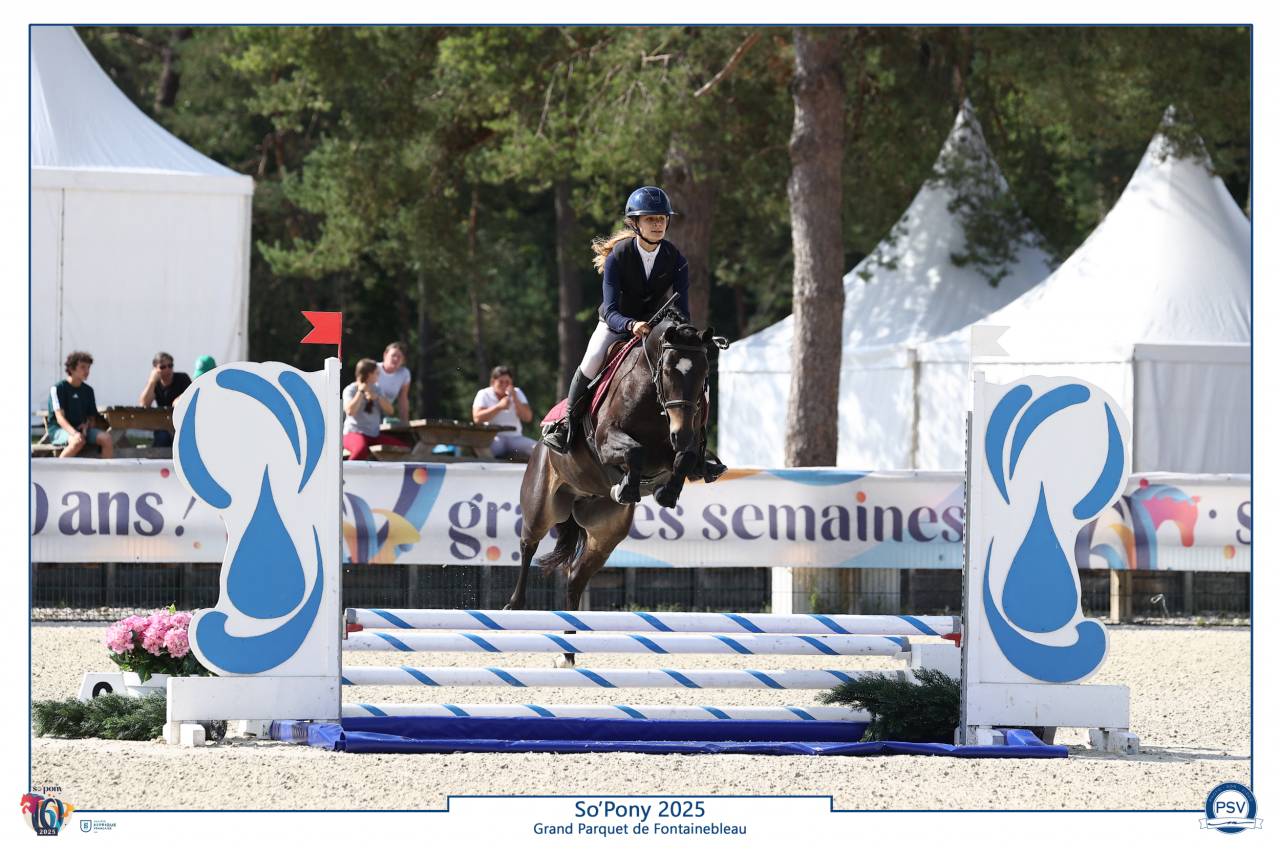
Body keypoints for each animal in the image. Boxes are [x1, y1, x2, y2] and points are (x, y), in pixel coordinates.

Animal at [505, 310, 721, 663]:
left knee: (575, 578)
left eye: (704, 372)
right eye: (667, 370)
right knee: (528, 545)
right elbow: (634, 451)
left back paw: (568, 651)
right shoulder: (608, 441)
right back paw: (514, 606)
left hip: (605, 534)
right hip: (542, 506)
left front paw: (664, 492)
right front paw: (629, 487)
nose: (681, 432)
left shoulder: (682, 445)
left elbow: (686, 457)